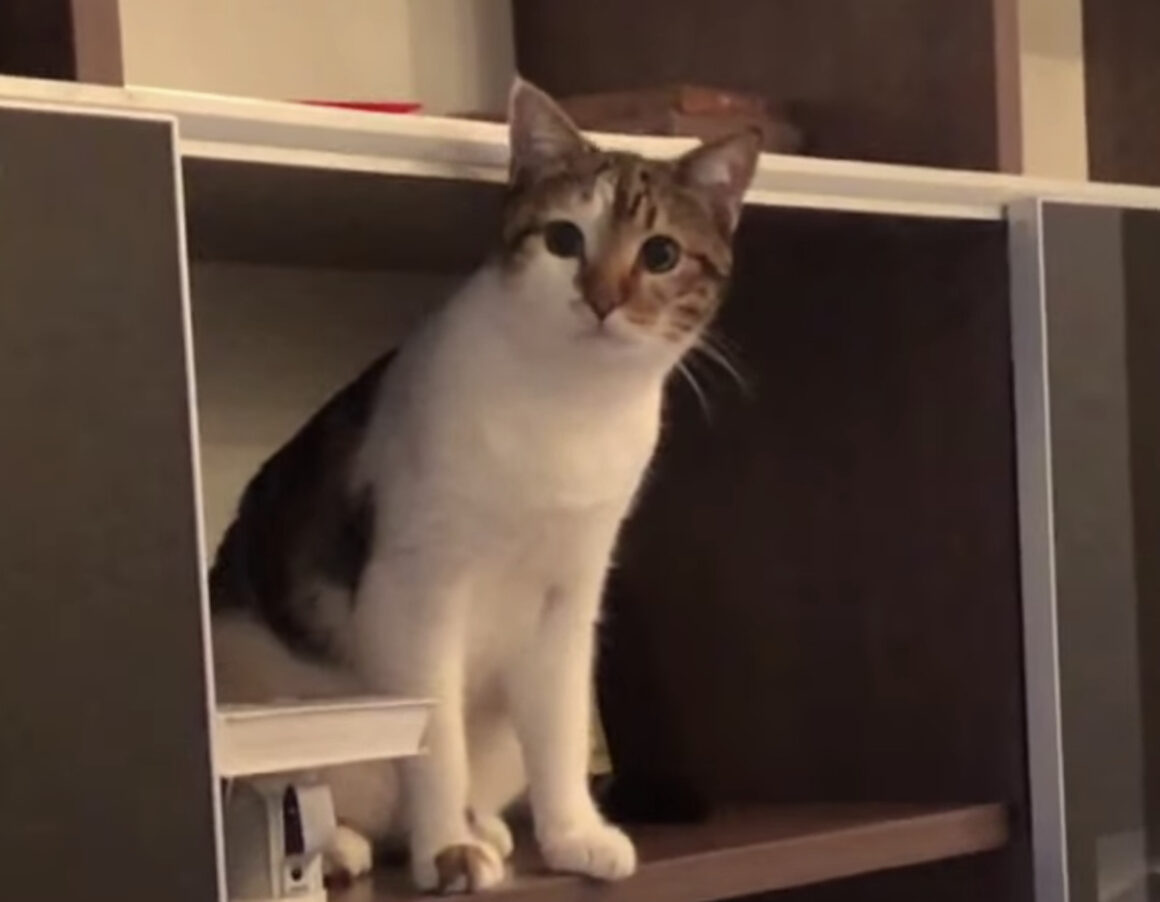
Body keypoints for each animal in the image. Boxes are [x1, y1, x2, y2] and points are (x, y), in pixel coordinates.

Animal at [209, 77, 759, 893]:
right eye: (565, 239)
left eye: (660, 253)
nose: (602, 298)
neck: (568, 405)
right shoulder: (417, 589)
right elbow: (434, 742)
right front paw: (447, 850)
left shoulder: (571, 595)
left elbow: (559, 731)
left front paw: (573, 835)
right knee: (301, 799)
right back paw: (349, 846)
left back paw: (485, 826)